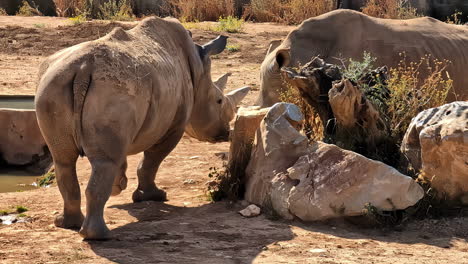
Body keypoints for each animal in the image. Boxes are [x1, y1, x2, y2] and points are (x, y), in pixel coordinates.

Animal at [34, 16, 250, 239]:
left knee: (64, 160)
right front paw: (154, 196)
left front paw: (118, 186)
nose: (225, 133)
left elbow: (123, 157)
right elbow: (152, 161)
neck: (199, 72)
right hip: (115, 90)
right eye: (219, 101)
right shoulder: (174, 126)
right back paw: (100, 235)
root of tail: (84, 68)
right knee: (104, 162)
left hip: (53, 86)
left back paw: (69, 224)